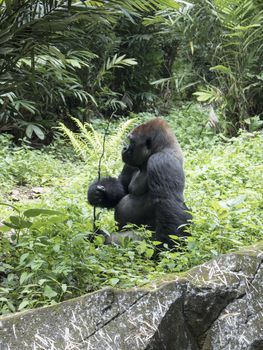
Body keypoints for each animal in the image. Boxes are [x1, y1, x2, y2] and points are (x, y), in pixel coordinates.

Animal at [87, 117, 193, 246]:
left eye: (131, 141)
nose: (124, 148)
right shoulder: (131, 164)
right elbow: (122, 188)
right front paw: (98, 193)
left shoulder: (162, 161)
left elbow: (169, 206)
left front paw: (166, 248)